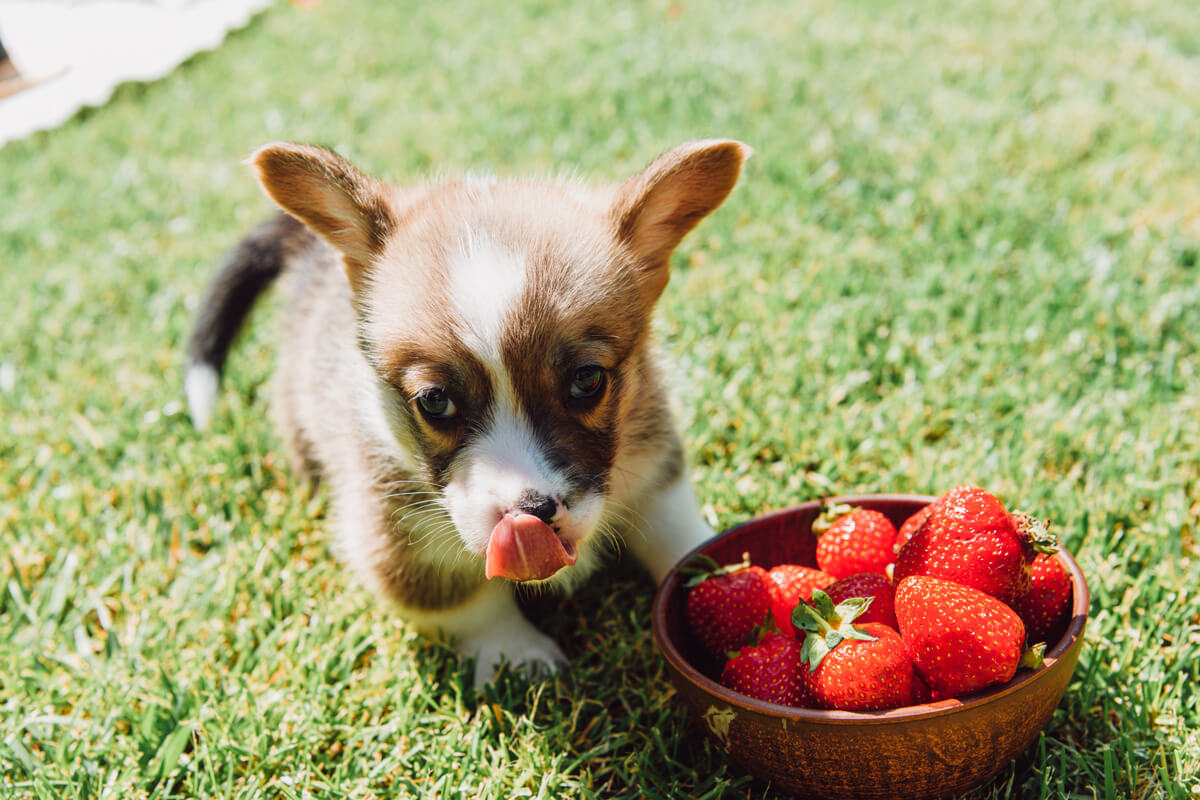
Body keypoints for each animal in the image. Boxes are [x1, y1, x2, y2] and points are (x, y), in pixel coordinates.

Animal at [184, 139, 748, 690]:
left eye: (588, 380)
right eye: (434, 401)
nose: (534, 512)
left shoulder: (653, 460)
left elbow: (675, 530)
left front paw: (725, 572)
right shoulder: (398, 539)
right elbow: (469, 603)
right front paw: (515, 655)